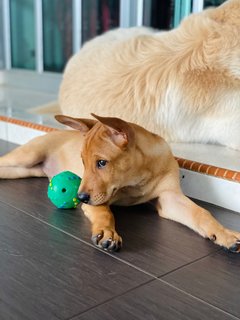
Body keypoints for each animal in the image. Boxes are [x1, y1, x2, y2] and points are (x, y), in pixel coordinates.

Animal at [0, 114, 240, 252]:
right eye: (82, 162)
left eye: (102, 163)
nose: (79, 198)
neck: (136, 180)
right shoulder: (98, 198)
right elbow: (106, 213)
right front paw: (106, 233)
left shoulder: (170, 197)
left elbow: (202, 213)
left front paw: (225, 235)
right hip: (27, 156)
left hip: (25, 171)